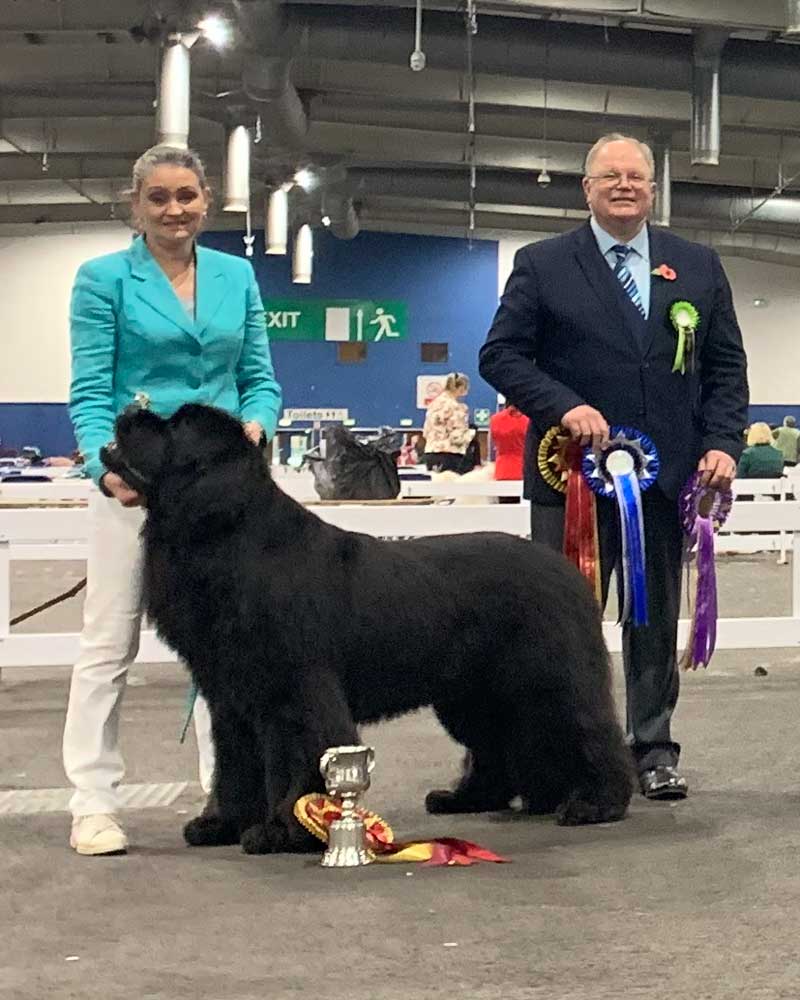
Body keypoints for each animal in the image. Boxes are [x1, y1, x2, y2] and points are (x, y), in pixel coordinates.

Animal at [103, 402, 636, 856]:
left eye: (176, 426)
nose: (128, 411)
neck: (232, 537)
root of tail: (566, 570)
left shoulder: (293, 692)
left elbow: (292, 758)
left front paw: (281, 831)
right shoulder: (232, 697)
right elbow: (234, 765)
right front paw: (220, 824)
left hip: (548, 679)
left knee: (587, 729)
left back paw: (595, 803)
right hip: (472, 694)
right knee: (495, 745)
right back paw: (464, 799)